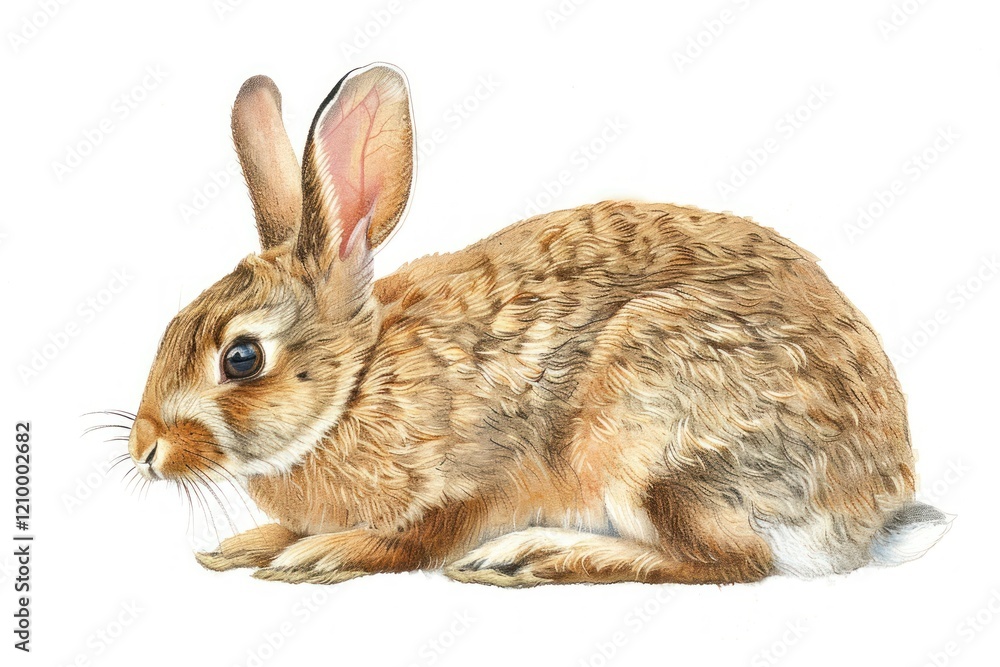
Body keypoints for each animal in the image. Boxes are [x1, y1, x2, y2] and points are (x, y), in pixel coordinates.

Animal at [126, 62, 951, 586]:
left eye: (240, 357)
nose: (145, 450)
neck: (358, 384)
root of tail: (872, 510)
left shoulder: (475, 475)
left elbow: (420, 536)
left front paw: (322, 554)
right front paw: (245, 545)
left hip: (649, 431)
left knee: (733, 561)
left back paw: (534, 556)